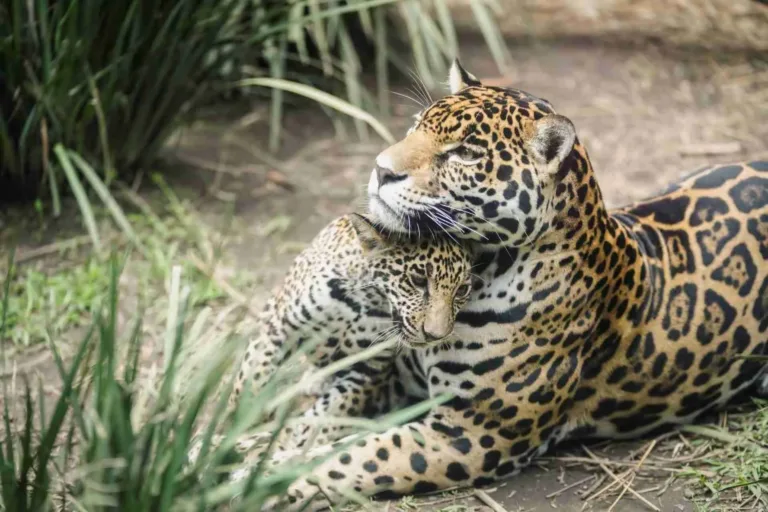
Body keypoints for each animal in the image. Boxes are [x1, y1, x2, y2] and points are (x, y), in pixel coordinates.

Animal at [252, 59, 768, 511]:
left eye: (464, 152)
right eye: (417, 124)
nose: (380, 170)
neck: (482, 268)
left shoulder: (470, 435)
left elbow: (349, 458)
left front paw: (257, 478)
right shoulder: (398, 377)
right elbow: (316, 418)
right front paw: (246, 443)